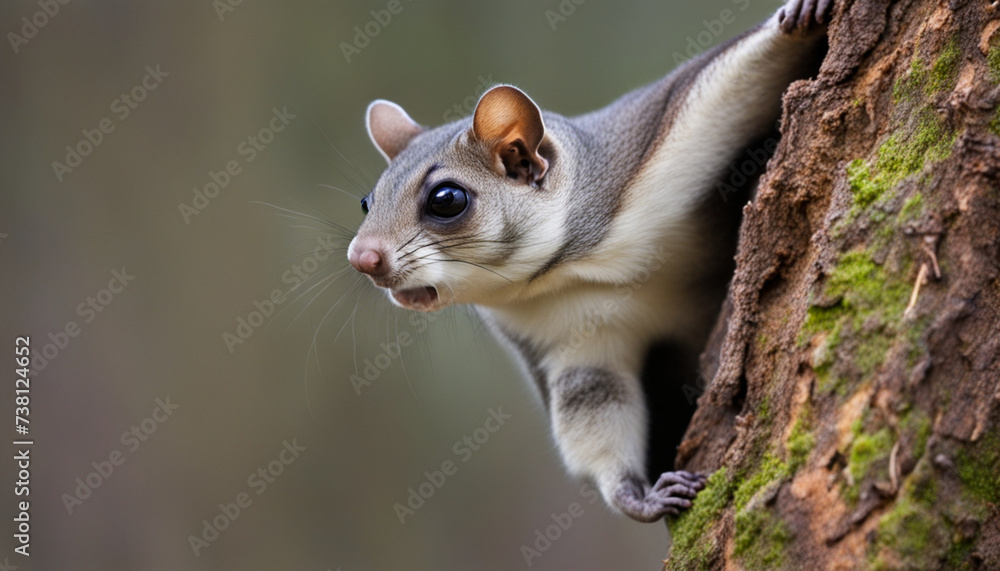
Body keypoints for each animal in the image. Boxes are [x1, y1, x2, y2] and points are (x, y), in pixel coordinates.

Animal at [348, 0, 832, 523]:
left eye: (447, 199)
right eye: (367, 201)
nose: (361, 258)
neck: (573, 264)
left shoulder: (660, 134)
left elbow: (742, 74)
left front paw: (801, 18)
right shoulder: (572, 341)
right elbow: (592, 403)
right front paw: (637, 496)